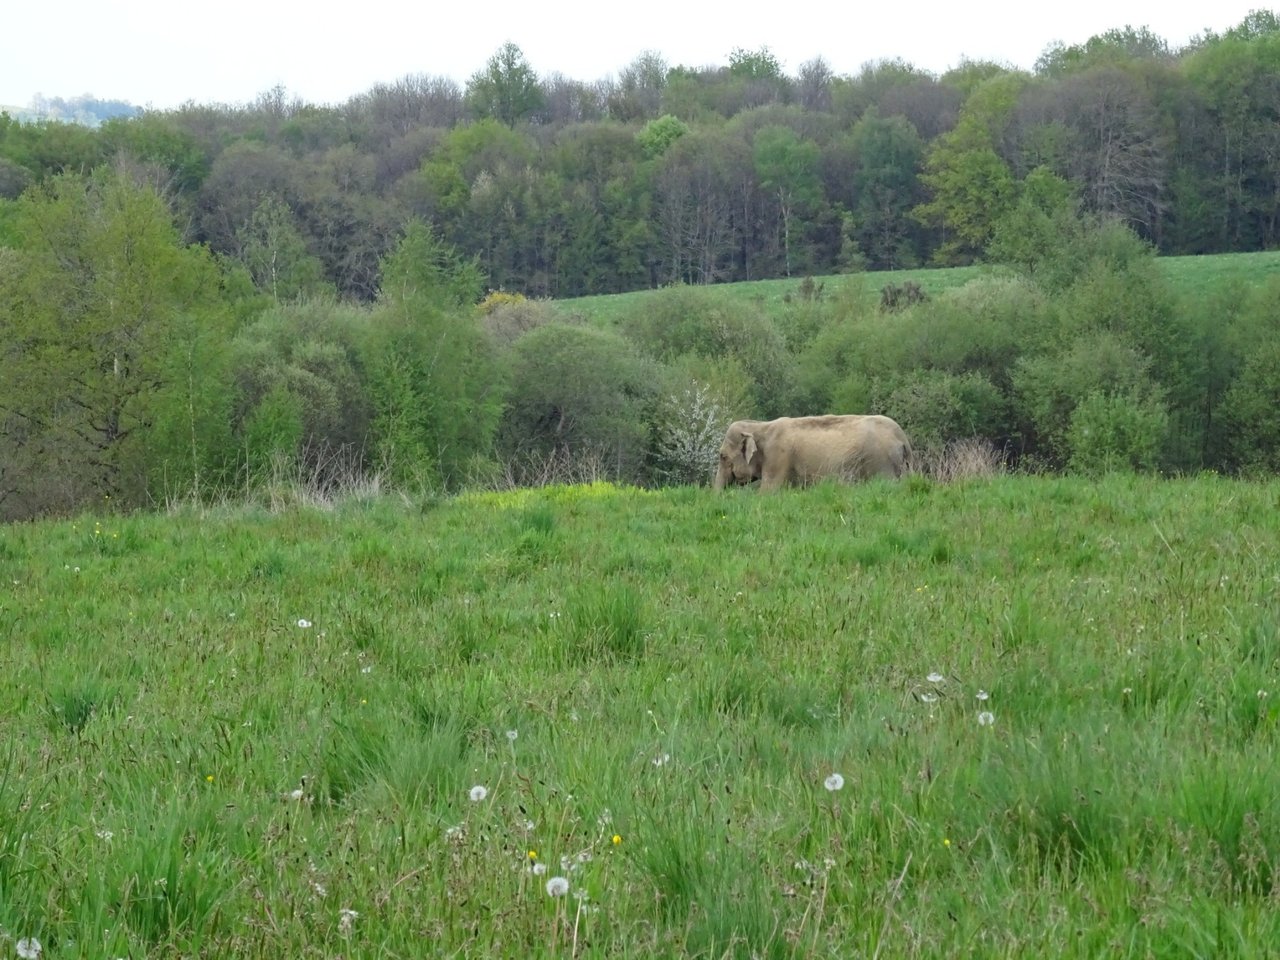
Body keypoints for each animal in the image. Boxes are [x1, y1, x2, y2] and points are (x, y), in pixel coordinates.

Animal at [711, 414, 911, 491]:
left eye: (722, 456)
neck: (760, 426)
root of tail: (902, 438)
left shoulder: (778, 459)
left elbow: (768, 492)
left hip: (881, 463)